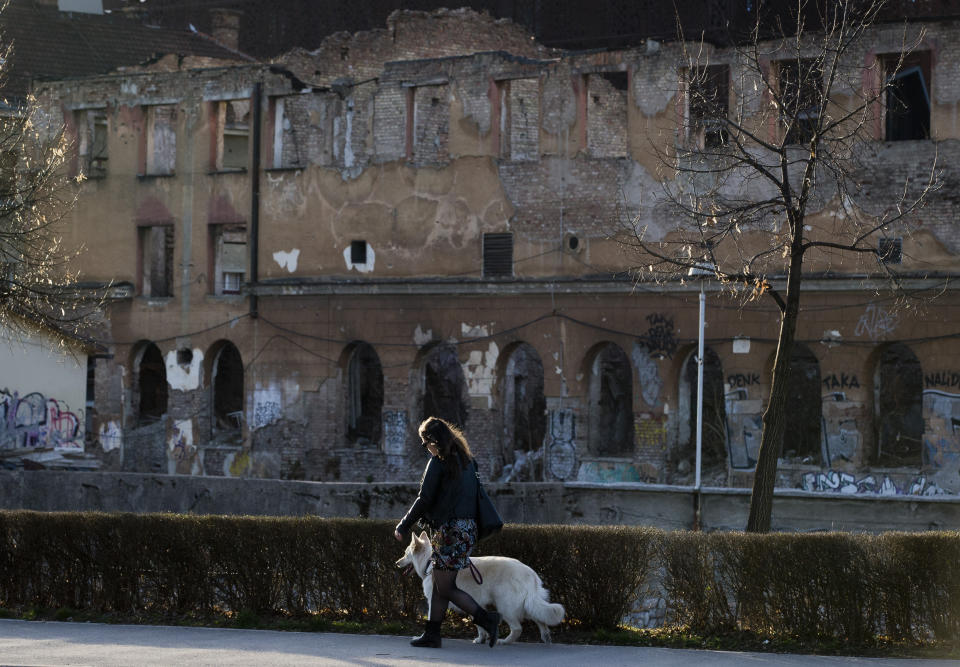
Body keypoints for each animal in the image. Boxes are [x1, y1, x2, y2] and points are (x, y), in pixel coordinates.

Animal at [396, 528, 568, 644]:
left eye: (405, 554)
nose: (397, 563)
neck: (429, 562)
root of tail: (530, 573)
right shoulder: (474, 602)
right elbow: (479, 621)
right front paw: (482, 638)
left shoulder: (436, 599)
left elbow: (434, 617)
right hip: (526, 605)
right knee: (540, 619)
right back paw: (546, 637)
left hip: (505, 606)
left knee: (518, 628)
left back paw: (505, 641)